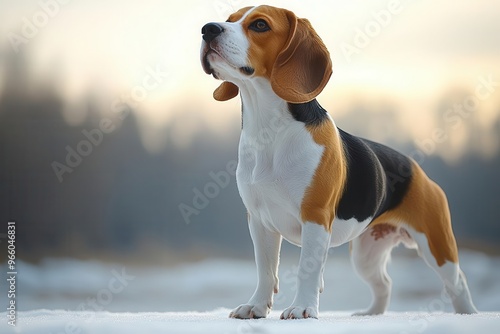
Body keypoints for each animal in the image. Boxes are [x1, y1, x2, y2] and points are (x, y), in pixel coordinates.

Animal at [198, 4, 476, 318]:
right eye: (229, 19)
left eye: (259, 25)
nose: (208, 29)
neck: (268, 131)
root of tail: (417, 169)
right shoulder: (259, 221)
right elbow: (266, 270)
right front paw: (256, 306)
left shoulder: (315, 216)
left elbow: (307, 270)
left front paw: (302, 308)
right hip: (366, 253)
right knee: (384, 283)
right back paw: (371, 314)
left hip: (436, 246)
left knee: (457, 281)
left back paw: (467, 313)